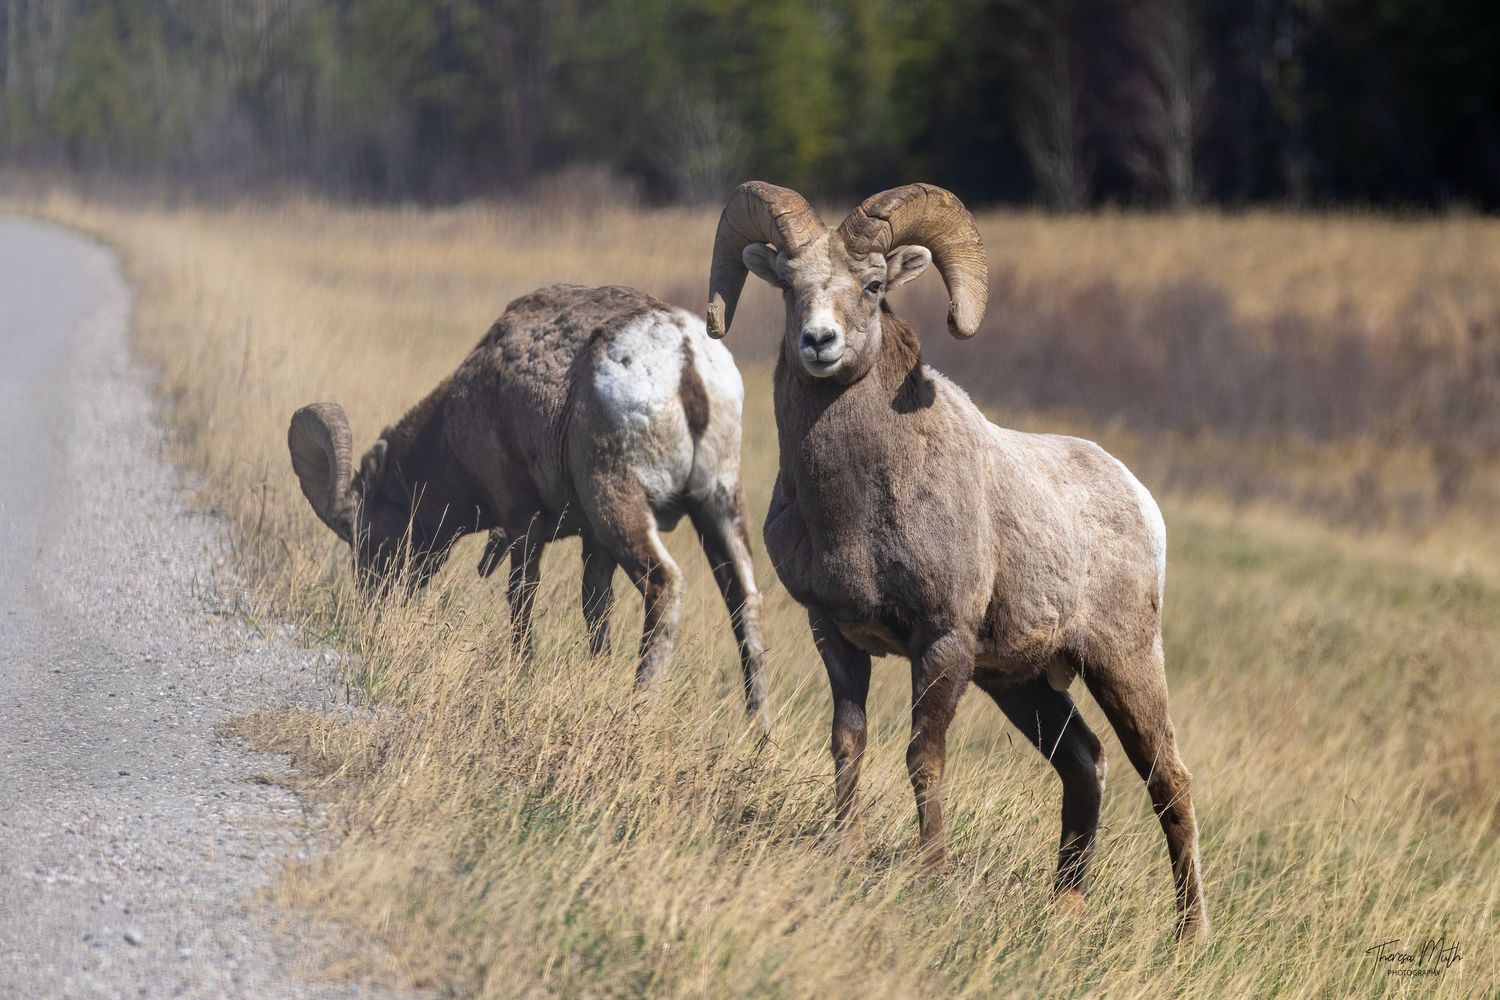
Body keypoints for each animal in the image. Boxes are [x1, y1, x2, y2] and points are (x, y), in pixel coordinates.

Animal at [287, 283, 770, 731]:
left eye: (369, 539)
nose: (372, 611)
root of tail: (684, 359)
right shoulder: (593, 543)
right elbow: (596, 610)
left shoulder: (523, 523)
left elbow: (521, 597)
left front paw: (523, 674)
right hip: (718, 506)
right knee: (744, 602)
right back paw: (758, 737)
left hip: (622, 507)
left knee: (664, 585)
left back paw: (638, 709)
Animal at [704, 182, 1208, 940]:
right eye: (789, 286)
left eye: (873, 284)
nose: (818, 342)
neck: (860, 504)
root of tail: (1140, 500)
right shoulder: (835, 635)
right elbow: (848, 741)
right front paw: (844, 848)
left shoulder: (942, 643)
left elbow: (923, 757)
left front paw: (932, 873)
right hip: (1022, 684)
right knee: (1084, 764)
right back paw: (1065, 907)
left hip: (1122, 662)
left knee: (1167, 780)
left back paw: (1190, 934)